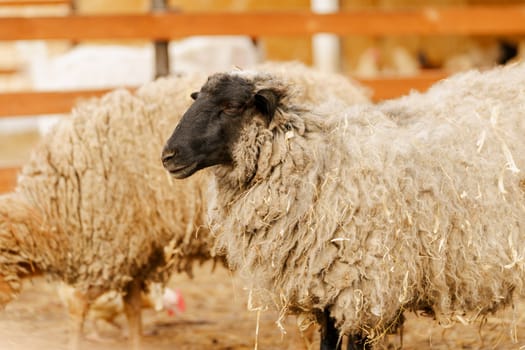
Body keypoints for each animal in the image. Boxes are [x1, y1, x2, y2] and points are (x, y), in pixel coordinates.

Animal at [1, 62, 368, 350]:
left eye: (231, 107)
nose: (168, 156)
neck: (45, 212)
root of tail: (350, 90)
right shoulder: (135, 248)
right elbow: (131, 308)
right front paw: (135, 342)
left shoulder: (106, 246)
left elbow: (78, 309)